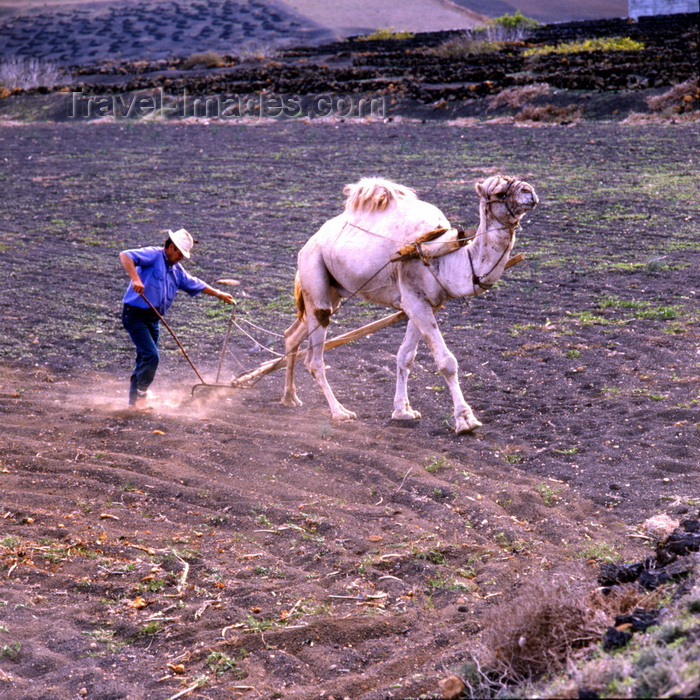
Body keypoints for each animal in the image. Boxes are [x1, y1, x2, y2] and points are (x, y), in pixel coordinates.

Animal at [282, 174, 540, 432]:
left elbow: (405, 356)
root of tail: (306, 246)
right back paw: (339, 412)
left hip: (331, 292)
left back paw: (290, 397)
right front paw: (466, 420)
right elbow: (447, 361)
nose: (529, 192)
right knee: (314, 359)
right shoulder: (415, 300)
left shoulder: (426, 303)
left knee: (292, 334)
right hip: (314, 273)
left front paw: (402, 411)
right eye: (498, 193)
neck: (442, 255)